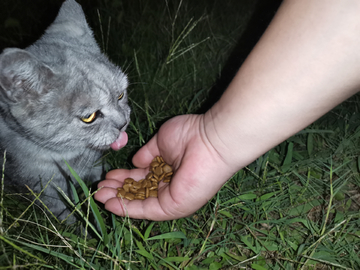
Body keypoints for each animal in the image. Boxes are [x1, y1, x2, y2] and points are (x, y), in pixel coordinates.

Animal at [0, 0, 131, 220]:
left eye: (120, 95)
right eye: (89, 117)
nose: (123, 123)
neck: (71, 156)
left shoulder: (95, 165)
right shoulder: (45, 190)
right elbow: (66, 216)